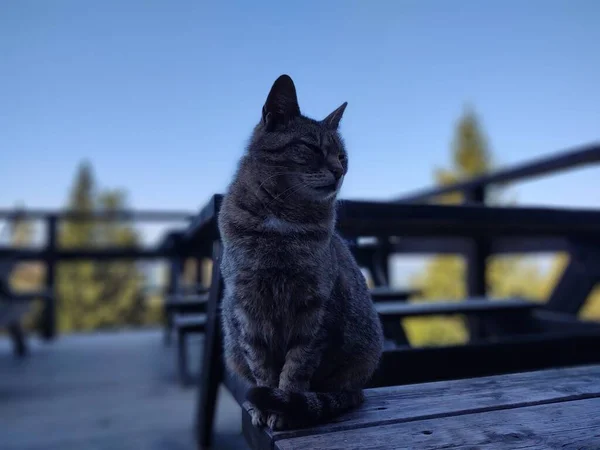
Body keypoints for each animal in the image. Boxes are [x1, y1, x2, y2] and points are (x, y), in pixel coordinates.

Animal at [218, 74, 382, 428]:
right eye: (311, 148)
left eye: (342, 156)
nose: (339, 171)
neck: (281, 225)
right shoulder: (247, 307)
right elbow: (262, 367)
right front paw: (265, 405)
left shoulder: (315, 307)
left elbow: (297, 366)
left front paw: (284, 406)